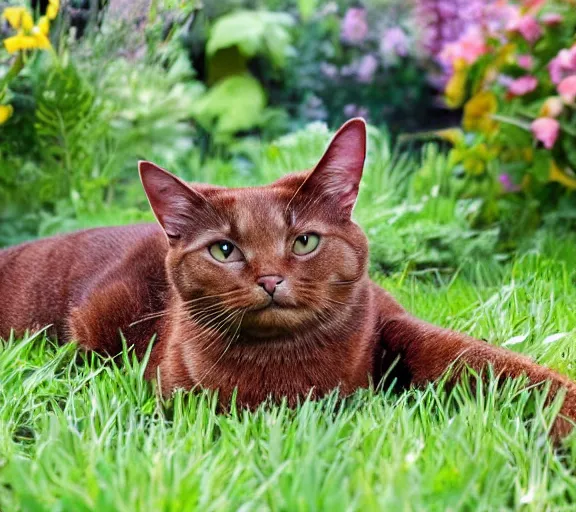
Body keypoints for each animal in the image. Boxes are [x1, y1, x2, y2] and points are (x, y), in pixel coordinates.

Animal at [1, 119, 576, 436]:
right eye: (225, 250)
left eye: (304, 241)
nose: (271, 279)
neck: (288, 366)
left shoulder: (393, 323)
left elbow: (488, 363)